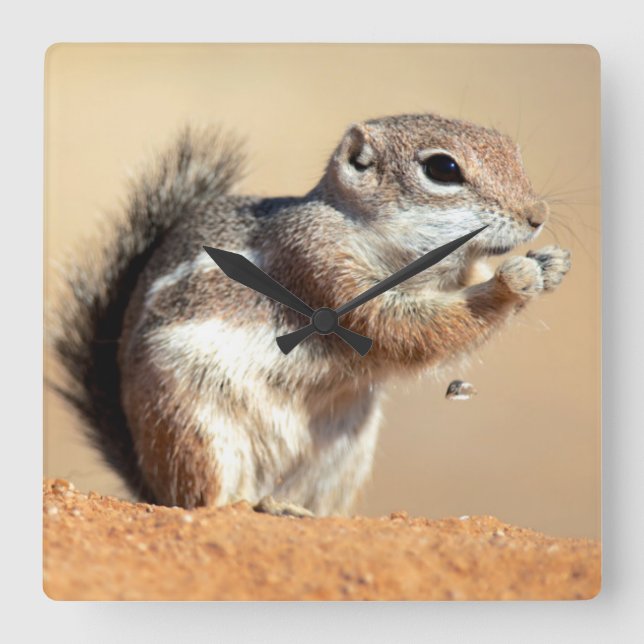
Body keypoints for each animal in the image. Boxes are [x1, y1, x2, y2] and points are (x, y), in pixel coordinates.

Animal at [52, 113, 571, 516]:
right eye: (442, 168)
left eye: (512, 150)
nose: (537, 215)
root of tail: (149, 480)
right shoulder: (318, 263)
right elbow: (404, 329)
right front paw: (513, 280)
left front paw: (551, 265)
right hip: (193, 426)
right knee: (203, 500)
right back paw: (252, 504)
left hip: (343, 455)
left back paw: (293, 508)